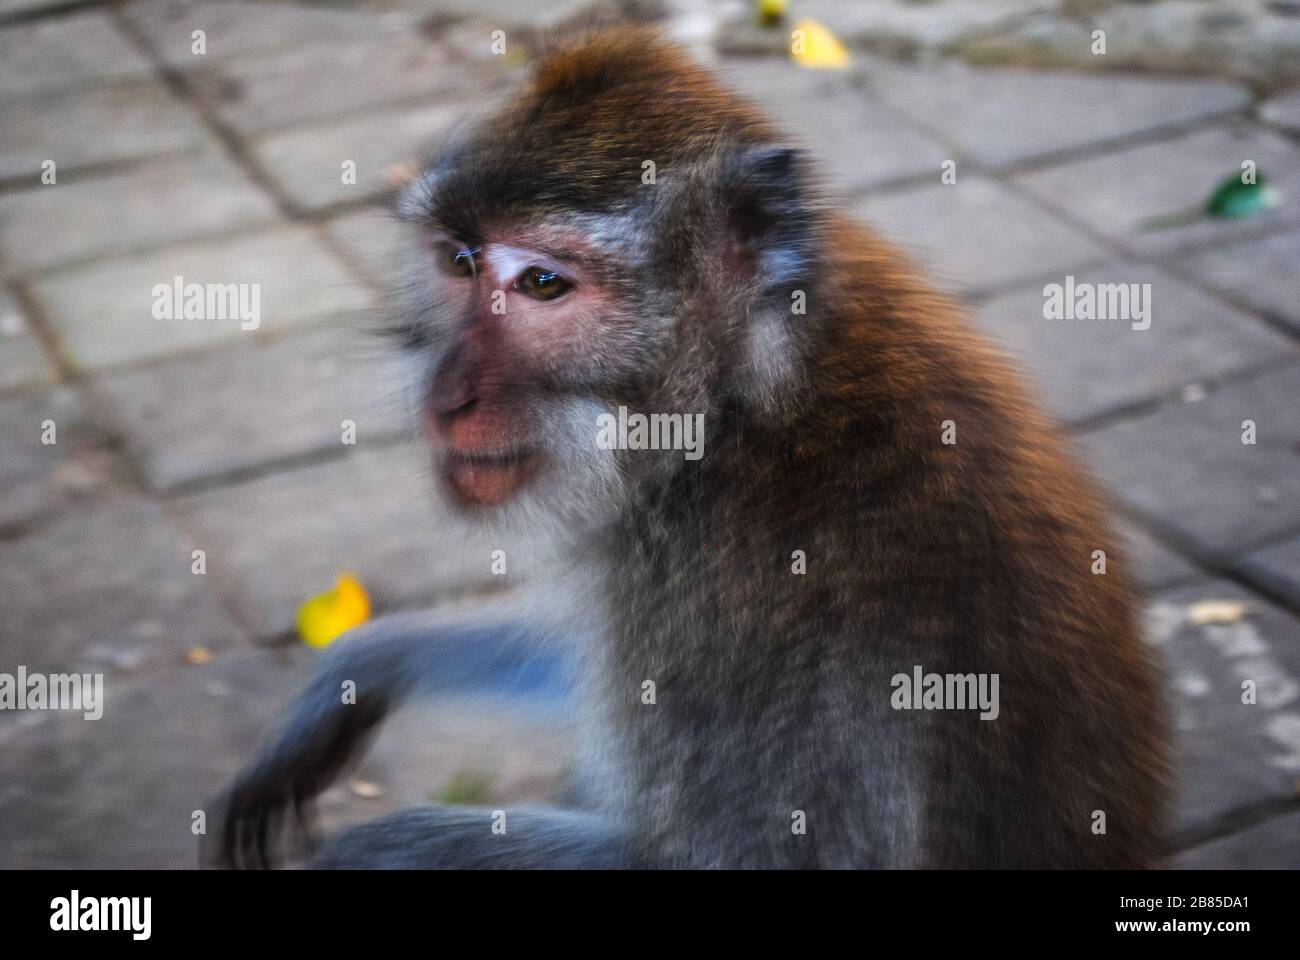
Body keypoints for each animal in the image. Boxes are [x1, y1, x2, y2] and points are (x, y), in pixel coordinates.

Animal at [210, 26, 1168, 869]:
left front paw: (372, 843)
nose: (447, 399)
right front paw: (361, 668)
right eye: (458, 262)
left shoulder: (730, 594)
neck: (743, 410)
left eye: (543, 283)